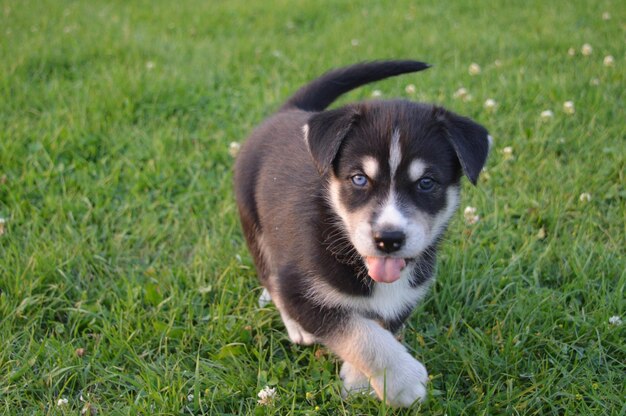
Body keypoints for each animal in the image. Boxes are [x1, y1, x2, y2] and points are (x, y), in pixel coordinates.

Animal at [233, 61, 488, 406]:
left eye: (426, 183)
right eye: (359, 179)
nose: (388, 239)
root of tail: (290, 111)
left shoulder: (404, 297)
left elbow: (378, 326)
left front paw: (358, 381)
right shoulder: (301, 289)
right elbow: (358, 332)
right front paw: (401, 380)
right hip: (252, 219)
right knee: (268, 273)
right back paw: (293, 324)